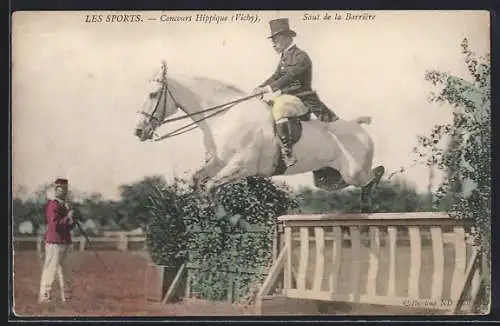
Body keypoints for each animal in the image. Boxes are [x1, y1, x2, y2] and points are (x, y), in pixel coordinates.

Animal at [135, 65, 384, 210]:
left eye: (153, 94)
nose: (139, 131)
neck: (224, 116)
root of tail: (358, 126)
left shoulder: (241, 165)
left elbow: (211, 185)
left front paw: (218, 213)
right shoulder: (218, 161)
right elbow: (198, 179)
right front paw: (205, 208)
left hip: (354, 173)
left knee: (373, 176)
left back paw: (369, 198)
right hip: (327, 177)